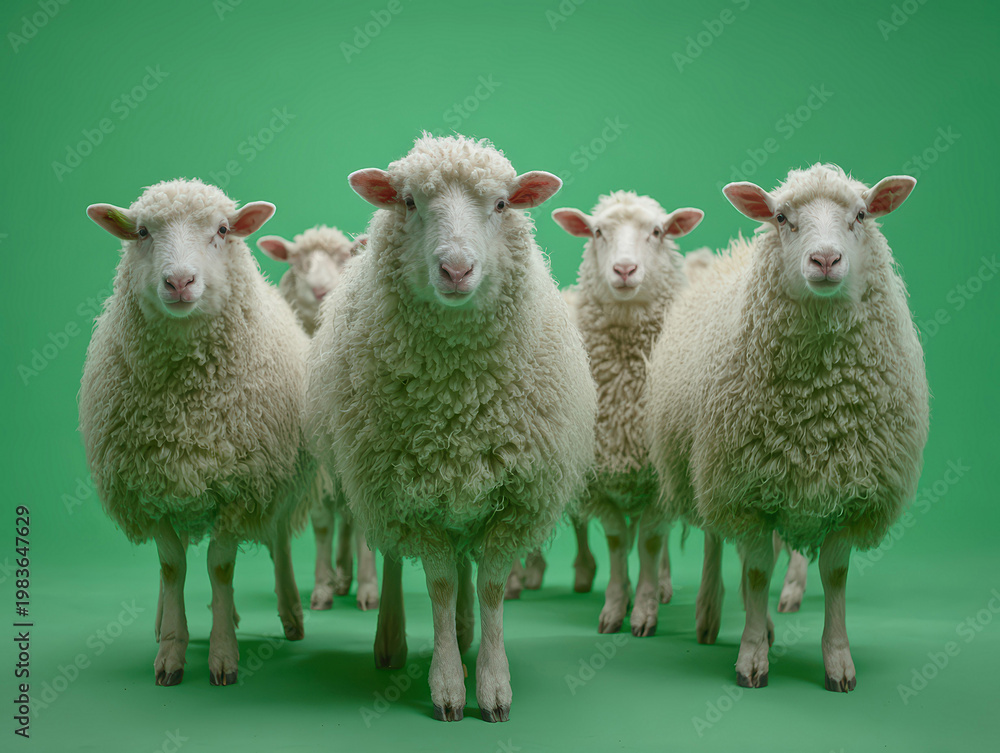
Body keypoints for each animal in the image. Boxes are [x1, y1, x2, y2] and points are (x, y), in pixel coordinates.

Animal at [79, 178, 316, 687]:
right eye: (142, 232)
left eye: (223, 230)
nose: (179, 282)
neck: (187, 406)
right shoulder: (150, 486)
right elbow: (172, 567)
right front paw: (171, 649)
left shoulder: (241, 487)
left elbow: (220, 567)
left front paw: (223, 654)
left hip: (280, 479)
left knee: (279, 540)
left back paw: (290, 615)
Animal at [256, 227, 377, 610]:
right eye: (298, 261)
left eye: (343, 259)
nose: (321, 289)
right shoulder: (314, 456)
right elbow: (323, 521)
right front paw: (323, 586)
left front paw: (369, 589)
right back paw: (341, 577)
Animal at [306, 134, 596, 722]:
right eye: (409, 201)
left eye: (503, 204)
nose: (457, 269)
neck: (461, 400)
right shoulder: (410, 495)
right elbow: (438, 582)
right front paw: (446, 686)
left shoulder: (512, 496)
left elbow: (490, 587)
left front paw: (492, 683)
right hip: (380, 481)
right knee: (394, 560)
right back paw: (391, 641)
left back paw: (465, 635)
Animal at [646, 164, 929, 691]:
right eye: (781, 217)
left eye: (862, 214)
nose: (825, 259)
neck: (818, 404)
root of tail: (732, 252)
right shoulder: (745, 487)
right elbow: (757, 572)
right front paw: (752, 657)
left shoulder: (848, 491)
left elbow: (834, 576)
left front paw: (838, 662)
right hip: (710, 467)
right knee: (716, 541)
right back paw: (710, 615)